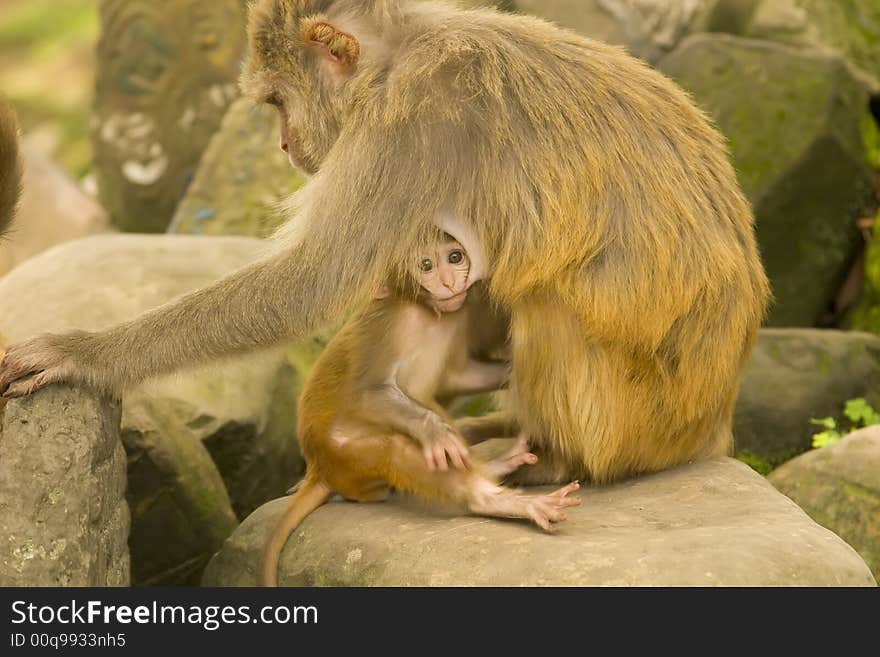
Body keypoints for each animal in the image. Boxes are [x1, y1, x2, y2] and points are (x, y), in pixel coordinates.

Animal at [0, 0, 768, 482]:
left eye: (277, 101)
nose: (284, 145)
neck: (400, 52)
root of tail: (710, 428)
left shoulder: (407, 123)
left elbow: (307, 284)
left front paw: (84, 353)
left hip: (626, 420)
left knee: (544, 303)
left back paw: (552, 458)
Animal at [258, 232, 580, 584]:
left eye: (455, 257)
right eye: (425, 265)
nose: (449, 281)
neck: (428, 315)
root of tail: (319, 469)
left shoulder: (459, 317)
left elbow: (459, 376)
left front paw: (523, 370)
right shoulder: (385, 325)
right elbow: (371, 392)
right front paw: (436, 434)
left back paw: (496, 466)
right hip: (346, 454)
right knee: (395, 450)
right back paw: (497, 500)